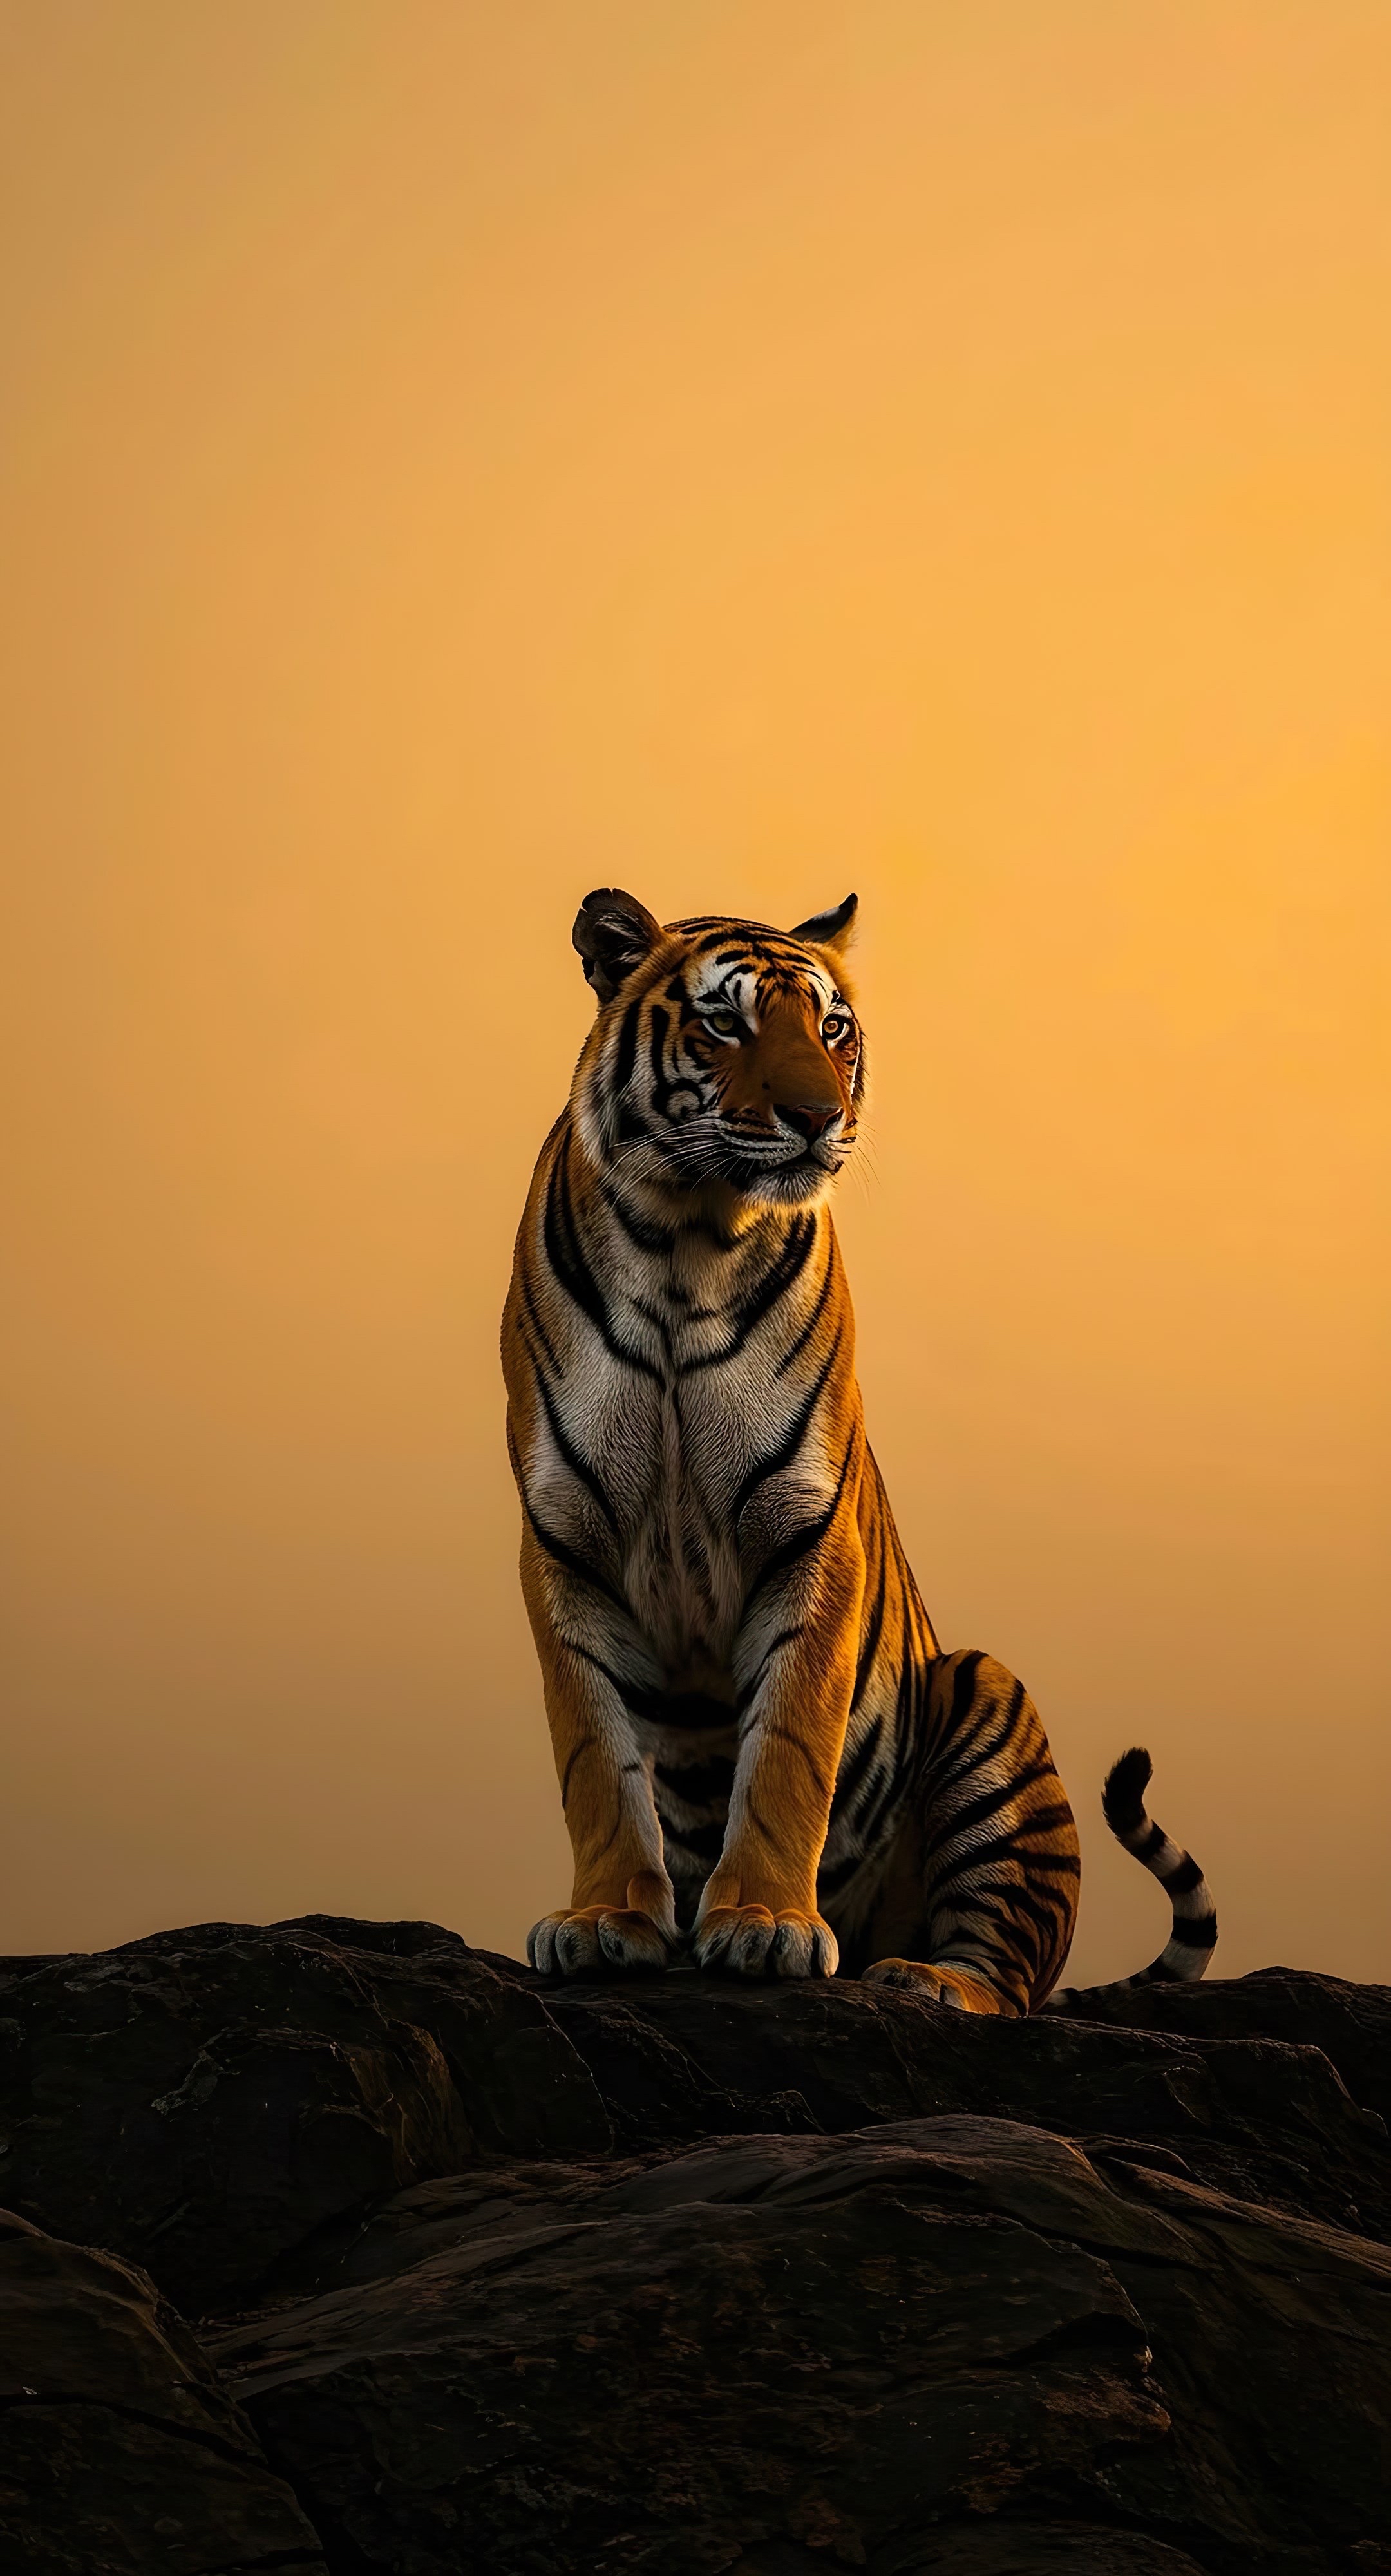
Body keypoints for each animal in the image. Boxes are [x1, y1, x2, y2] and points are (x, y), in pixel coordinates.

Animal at [501, 888, 1217, 2013]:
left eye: (833, 1028)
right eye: (726, 1022)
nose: (819, 1115)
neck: (685, 1246)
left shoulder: (809, 1530)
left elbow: (789, 1750)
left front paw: (764, 1925)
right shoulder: (566, 1543)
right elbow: (595, 1759)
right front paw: (606, 1922)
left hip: (987, 1701)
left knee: (1007, 1978)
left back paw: (921, 1979)